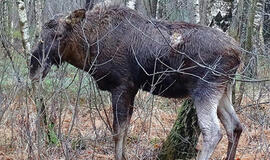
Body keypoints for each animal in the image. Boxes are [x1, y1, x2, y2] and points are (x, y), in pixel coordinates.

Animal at [29, 4, 243, 160]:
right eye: (39, 35)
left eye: (59, 35)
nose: (34, 68)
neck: (89, 49)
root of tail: (239, 53)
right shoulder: (132, 89)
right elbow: (124, 130)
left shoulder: (121, 86)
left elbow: (117, 131)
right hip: (223, 89)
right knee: (235, 126)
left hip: (205, 88)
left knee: (213, 132)